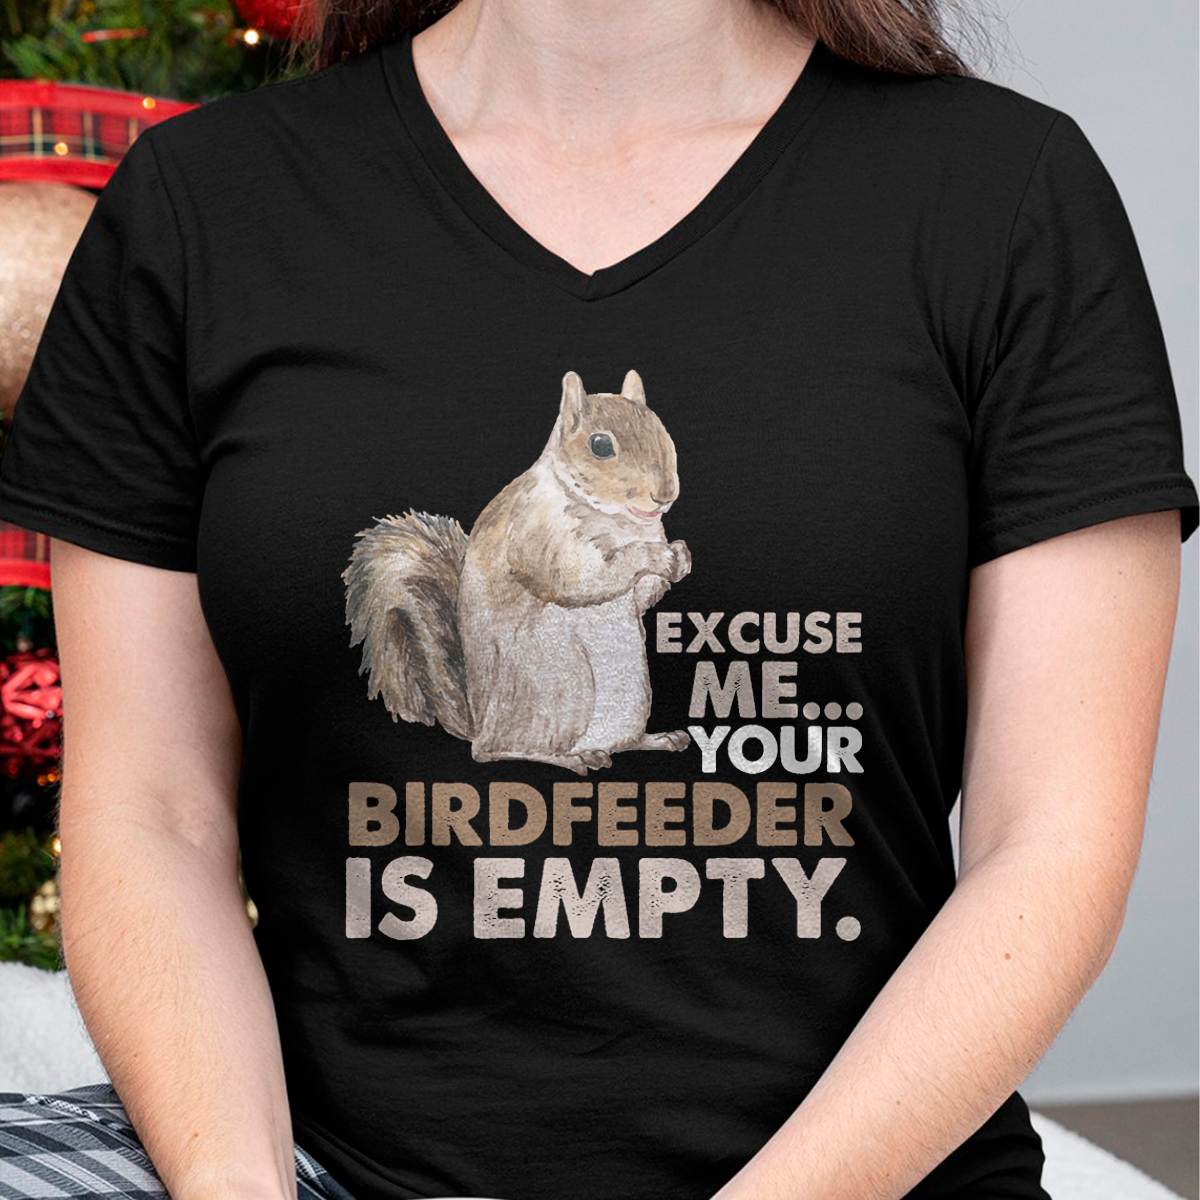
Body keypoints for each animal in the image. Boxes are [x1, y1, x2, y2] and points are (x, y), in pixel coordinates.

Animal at [344, 369, 692, 775]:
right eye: (601, 445)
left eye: (660, 427)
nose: (665, 494)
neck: (616, 520)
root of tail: (480, 723)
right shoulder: (535, 530)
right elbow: (576, 578)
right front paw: (651, 557)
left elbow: (640, 598)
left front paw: (680, 558)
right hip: (560, 687)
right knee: (493, 751)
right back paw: (569, 757)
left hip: (631, 694)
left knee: (618, 740)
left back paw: (653, 739)